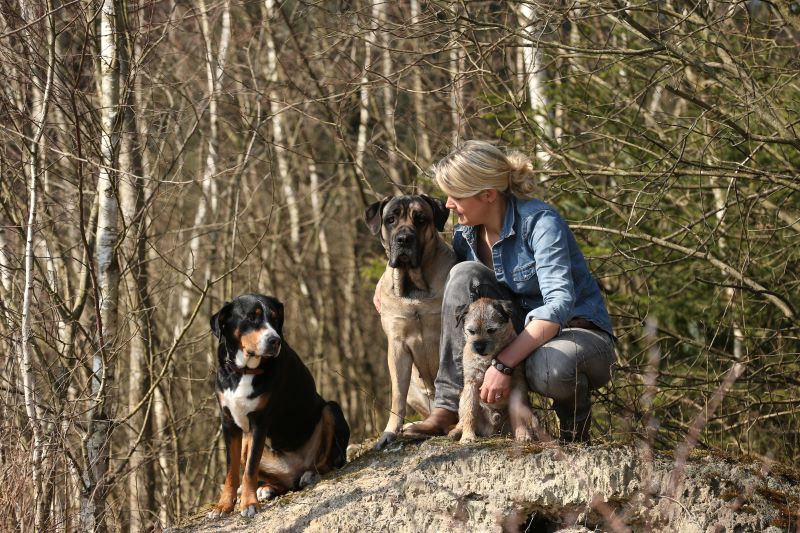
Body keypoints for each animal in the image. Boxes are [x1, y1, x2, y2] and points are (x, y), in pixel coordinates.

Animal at [208, 294, 348, 516]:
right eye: (251, 317)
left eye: (275, 318)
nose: (274, 340)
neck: (244, 371)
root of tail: (293, 471)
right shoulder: (229, 422)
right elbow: (232, 471)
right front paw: (224, 505)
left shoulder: (260, 422)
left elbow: (250, 469)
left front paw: (249, 504)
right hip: (247, 442)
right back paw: (267, 489)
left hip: (331, 409)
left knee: (330, 462)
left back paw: (310, 475)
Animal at [364, 193, 456, 446]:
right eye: (391, 219)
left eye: (420, 218)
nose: (404, 239)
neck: (414, 288)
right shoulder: (397, 345)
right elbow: (397, 395)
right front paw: (389, 432)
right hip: (415, 390)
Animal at [450, 298, 536, 442]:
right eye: (471, 331)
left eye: (491, 330)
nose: (479, 347)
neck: (489, 360)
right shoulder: (471, 384)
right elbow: (470, 412)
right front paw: (467, 436)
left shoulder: (518, 383)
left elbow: (518, 412)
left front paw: (523, 434)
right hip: (462, 397)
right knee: (462, 418)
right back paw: (457, 432)